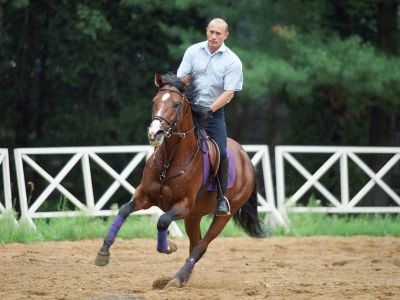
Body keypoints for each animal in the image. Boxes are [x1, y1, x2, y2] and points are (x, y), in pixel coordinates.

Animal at [94, 72, 266, 288]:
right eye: (155, 101)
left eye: (176, 104)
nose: (155, 133)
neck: (169, 161)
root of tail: (246, 159)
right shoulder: (144, 196)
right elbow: (124, 210)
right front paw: (103, 252)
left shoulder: (182, 206)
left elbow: (162, 221)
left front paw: (169, 246)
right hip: (193, 217)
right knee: (195, 244)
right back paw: (182, 278)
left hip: (222, 215)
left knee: (201, 246)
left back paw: (177, 279)